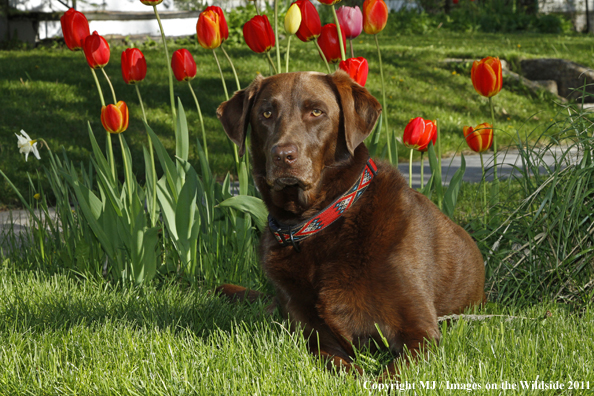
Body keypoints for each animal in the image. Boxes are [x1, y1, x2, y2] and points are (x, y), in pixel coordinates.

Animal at [215, 70, 484, 378]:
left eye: (316, 112)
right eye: (266, 113)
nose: (283, 155)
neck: (318, 222)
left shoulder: (420, 330)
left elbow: (393, 374)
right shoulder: (313, 335)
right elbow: (340, 365)